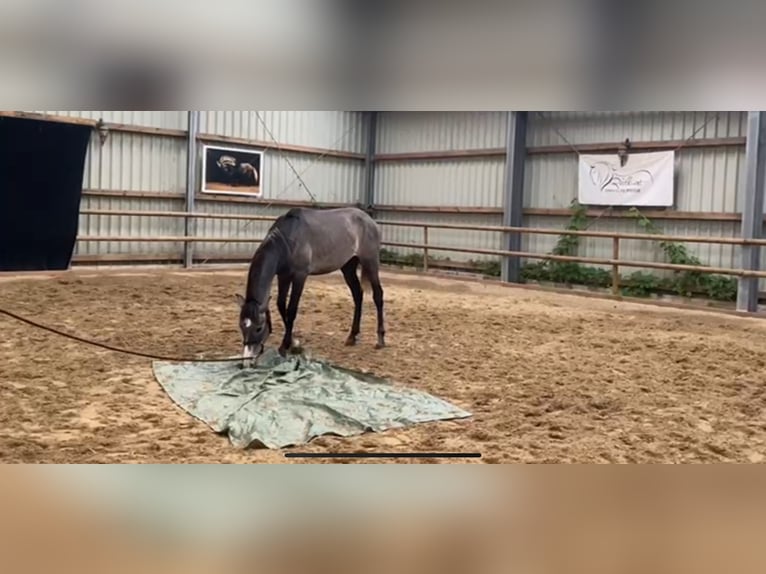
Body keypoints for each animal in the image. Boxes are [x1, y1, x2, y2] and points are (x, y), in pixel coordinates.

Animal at [234, 209, 388, 366]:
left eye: (259, 328)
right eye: (241, 326)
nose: (247, 360)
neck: (286, 241)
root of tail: (369, 219)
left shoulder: (300, 276)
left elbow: (291, 310)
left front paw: (285, 346)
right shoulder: (283, 276)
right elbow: (281, 305)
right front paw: (293, 342)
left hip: (370, 262)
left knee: (378, 295)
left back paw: (380, 339)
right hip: (348, 266)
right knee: (358, 295)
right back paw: (352, 336)